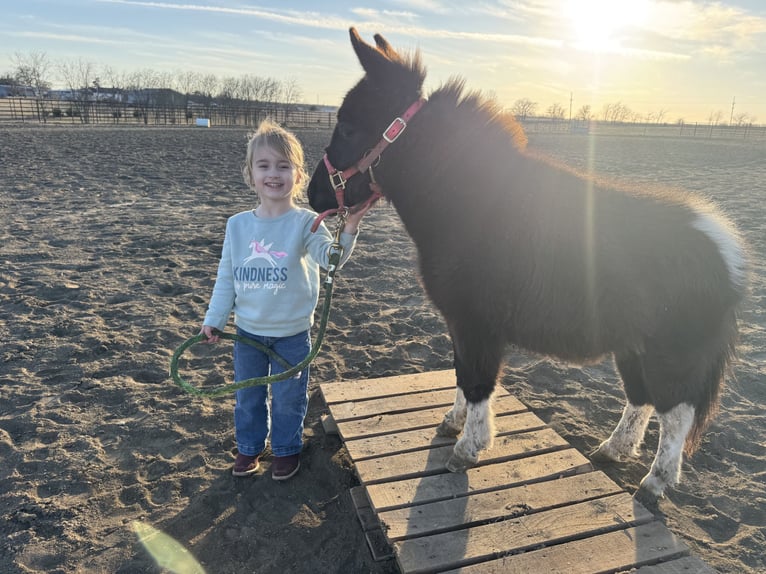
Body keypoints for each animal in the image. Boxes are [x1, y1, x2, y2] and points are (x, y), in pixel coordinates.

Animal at [308, 28, 752, 500]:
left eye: (348, 127)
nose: (314, 194)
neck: (469, 204)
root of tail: (725, 253)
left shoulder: (476, 326)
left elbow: (478, 382)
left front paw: (467, 449)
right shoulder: (460, 325)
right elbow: (462, 374)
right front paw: (452, 424)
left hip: (672, 358)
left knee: (676, 414)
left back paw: (654, 482)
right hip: (633, 349)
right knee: (641, 399)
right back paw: (611, 451)